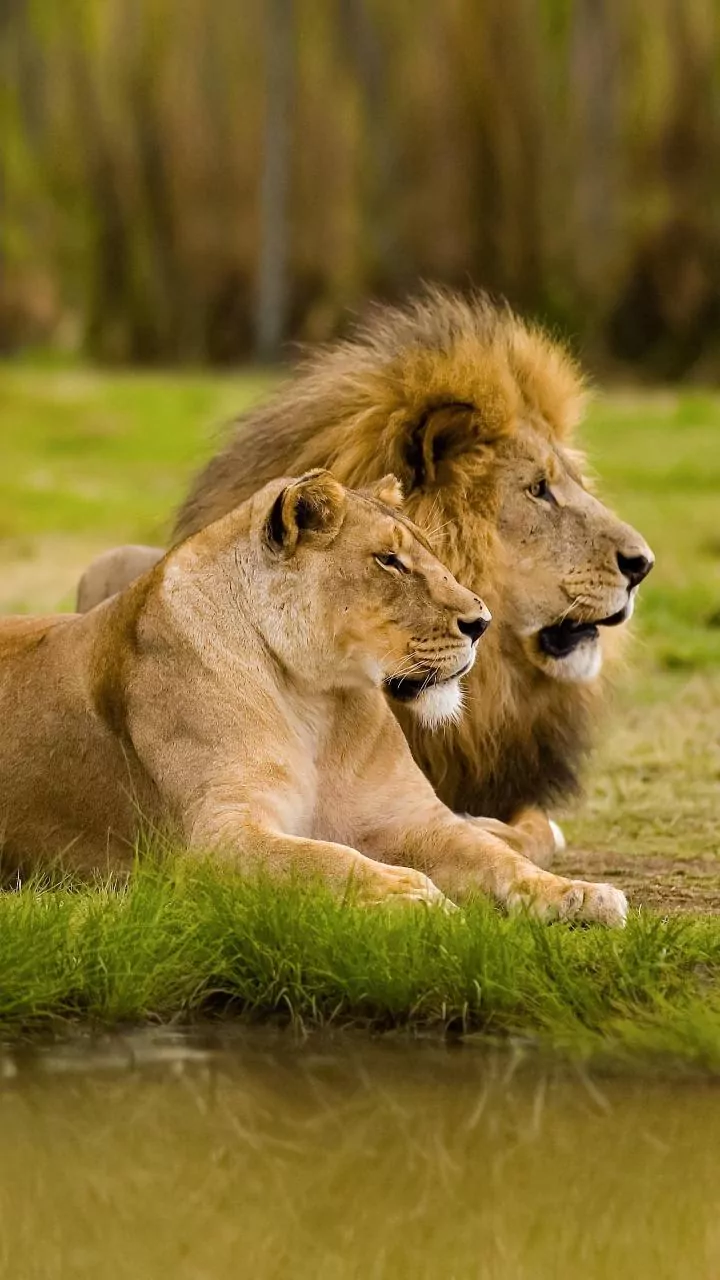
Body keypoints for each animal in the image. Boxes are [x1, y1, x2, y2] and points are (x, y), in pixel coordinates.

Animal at [0, 470, 626, 923]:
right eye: (388, 560)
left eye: (428, 552)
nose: (482, 623)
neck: (316, 702)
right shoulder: (216, 839)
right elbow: (324, 858)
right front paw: (411, 895)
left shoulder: (407, 819)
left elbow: (495, 859)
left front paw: (577, 895)